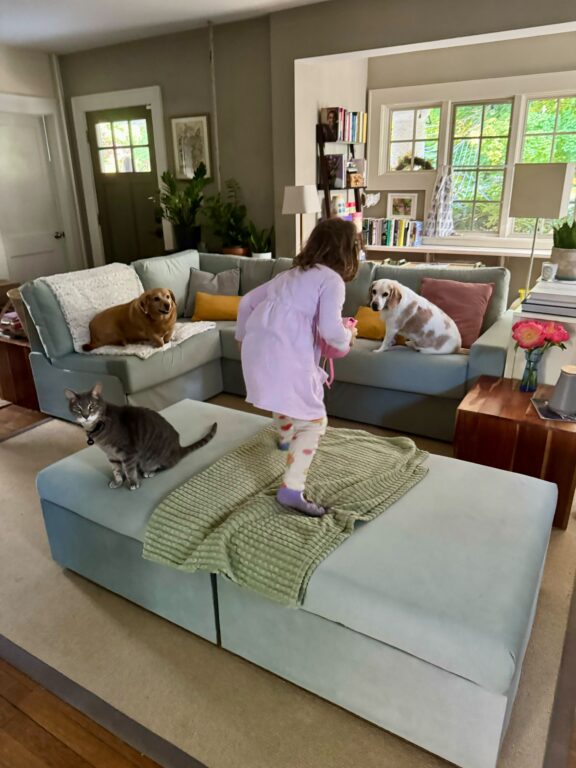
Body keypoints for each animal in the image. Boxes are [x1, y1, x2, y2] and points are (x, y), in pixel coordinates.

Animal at [64, 380, 218, 488]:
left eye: (92, 406)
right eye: (78, 408)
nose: (85, 416)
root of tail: (178, 448)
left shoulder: (128, 452)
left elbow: (128, 469)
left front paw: (132, 482)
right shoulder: (111, 455)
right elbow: (116, 470)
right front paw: (118, 481)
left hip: (153, 457)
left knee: (166, 465)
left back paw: (149, 471)